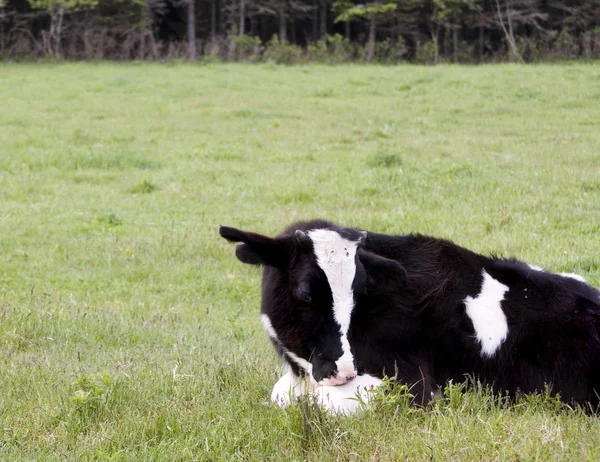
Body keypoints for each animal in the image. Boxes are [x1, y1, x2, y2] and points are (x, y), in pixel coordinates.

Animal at [219, 220, 600, 412]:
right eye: (305, 293)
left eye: (360, 291)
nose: (342, 370)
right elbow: (281, 396)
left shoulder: (415, 385)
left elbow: (322, 403)